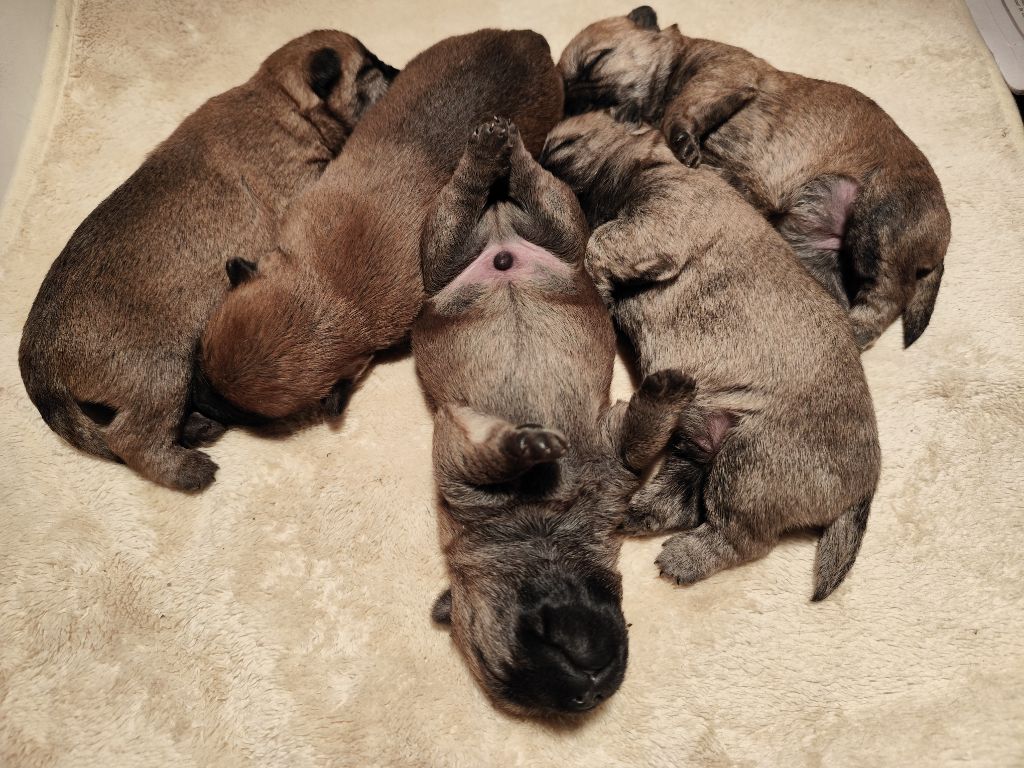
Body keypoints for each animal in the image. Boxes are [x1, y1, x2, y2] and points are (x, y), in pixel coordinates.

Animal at [20, 31, 395, 493]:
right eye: (368, 71)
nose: (398, 70)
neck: (277, 99)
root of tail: (37, 359)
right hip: (162, 372)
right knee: (130, 439)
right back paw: (188, 470)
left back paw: (198, 428)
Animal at [415, 117, 696, 720]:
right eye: (504, 666)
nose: (587, 689)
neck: (542, 525)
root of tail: (501, 240)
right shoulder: (460, 454)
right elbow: (631, 438)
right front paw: (526, 445)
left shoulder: (604, 453)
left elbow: (639, 436)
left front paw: (666, 388)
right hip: (471, 243)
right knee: (485, 193)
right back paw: (497, 152)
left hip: (543, 231)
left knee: (506, 185)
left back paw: (500, 147)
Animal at [544, 114, 880, 606]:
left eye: (563, 145)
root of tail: (866, 483)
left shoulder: (658, 217)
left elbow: (601, 240)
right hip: (700, 436)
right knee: (683, 499)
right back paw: (640, 512)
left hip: (751, 462)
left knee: (742, 538)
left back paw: (688, 556)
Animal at [561, 5, 950, 348]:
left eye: (597, 59)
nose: (580, 104)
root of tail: (940, 241)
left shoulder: (720, 72)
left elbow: (682, 106)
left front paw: (682, 140)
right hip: (814, 250)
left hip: (879, 221)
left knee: (888, 297)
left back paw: (856, 330)